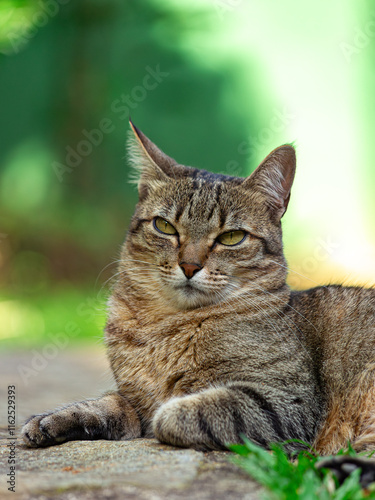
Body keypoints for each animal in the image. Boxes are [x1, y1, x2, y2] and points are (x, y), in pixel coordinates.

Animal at [21, 119, 375, 456]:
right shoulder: (133, 398)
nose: (189, 266)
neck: (165, 326)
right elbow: (104, 403)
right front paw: (54, 419)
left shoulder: (288, 401)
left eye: (231, 237)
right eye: (164, 226)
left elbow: (181, 412)